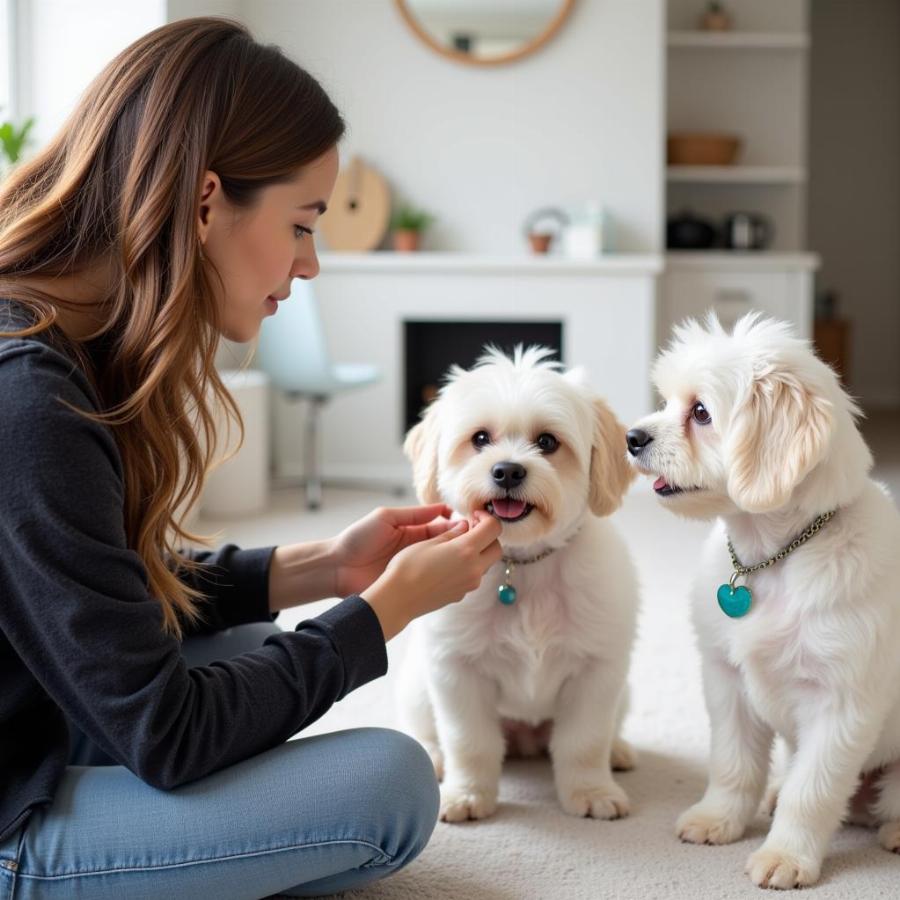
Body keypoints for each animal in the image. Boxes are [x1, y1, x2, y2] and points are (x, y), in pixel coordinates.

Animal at [396, 346, 640, 824]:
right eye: (479, 438)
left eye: (547, 442)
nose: (507, 471)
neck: (523, 567)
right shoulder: (456, 671)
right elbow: (469, 742)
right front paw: (468, 794)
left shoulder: (597, 672)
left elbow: (585, 742)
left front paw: (591, 791)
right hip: (417, 685)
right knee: (426, 730)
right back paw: (432, 756)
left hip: (623, 693)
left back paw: (619, 751)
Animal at [624, 314, 900, 884]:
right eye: (667, 399)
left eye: (701, 412)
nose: (631, 437)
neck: (771, 560)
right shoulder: (726, 682)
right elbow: (734, 764)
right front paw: (719, 819)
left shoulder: (841, 706)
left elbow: (811, 792)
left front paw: (786, 857)